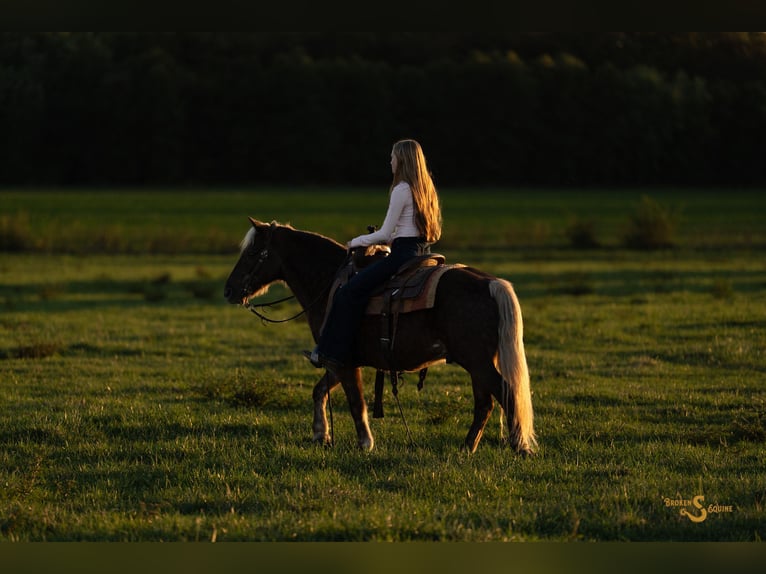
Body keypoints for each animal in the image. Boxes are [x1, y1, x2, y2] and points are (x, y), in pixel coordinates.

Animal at [223, 218, 536, 455]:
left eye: (251, 253)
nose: (229, 290)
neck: (329, 283)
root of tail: (491, 283)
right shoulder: (338, 359)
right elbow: (319, 390)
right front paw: (321, 434)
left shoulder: (344, 360)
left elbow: (355, 402)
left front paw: (365, 443)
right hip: (478, 363)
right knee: (485, 403)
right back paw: (467, 448)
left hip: (478, 362)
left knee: (505, 395)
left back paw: (520, 447)